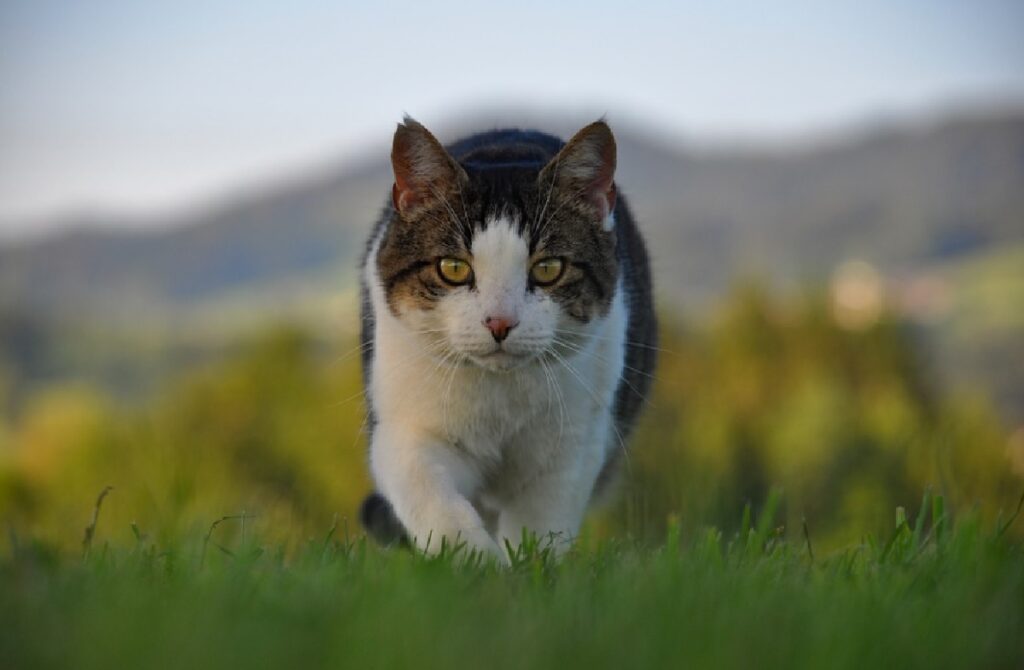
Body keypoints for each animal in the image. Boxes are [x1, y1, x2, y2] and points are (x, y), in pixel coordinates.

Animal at [356, 116, 655, 561]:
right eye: (453, 268)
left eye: (548, 268)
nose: (499, 322)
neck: (499, 396)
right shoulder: (405, 423)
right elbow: (432, 496)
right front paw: (476, 561)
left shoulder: (574, 441)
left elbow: (540, 523)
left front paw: (529, 569)